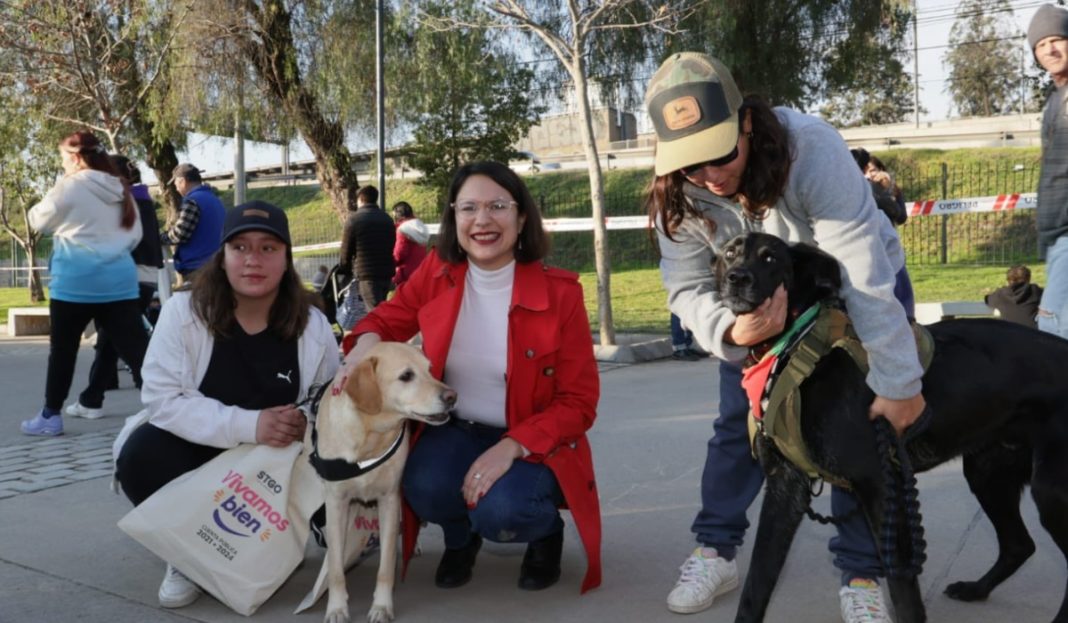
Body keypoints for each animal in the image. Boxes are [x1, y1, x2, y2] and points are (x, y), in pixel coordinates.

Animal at [311, 344, 457, 623]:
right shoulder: (336, 503)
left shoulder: (389, 500)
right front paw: (336, 608)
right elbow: (335, 567)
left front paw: (381, 606)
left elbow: (386, 566)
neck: (370, 437)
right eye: (406, 376)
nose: (452, 397)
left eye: (430, 369)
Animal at [713, 234, 1068, 623]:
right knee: (1020, 544)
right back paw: (976, 589)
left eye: (770, 258)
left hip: (1051, 490)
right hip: (988, 473)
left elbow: (902, 589)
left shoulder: (882, 485)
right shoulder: (785, 487)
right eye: (729, 253)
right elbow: (758, 581)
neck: (799, 345)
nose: (736, 277)